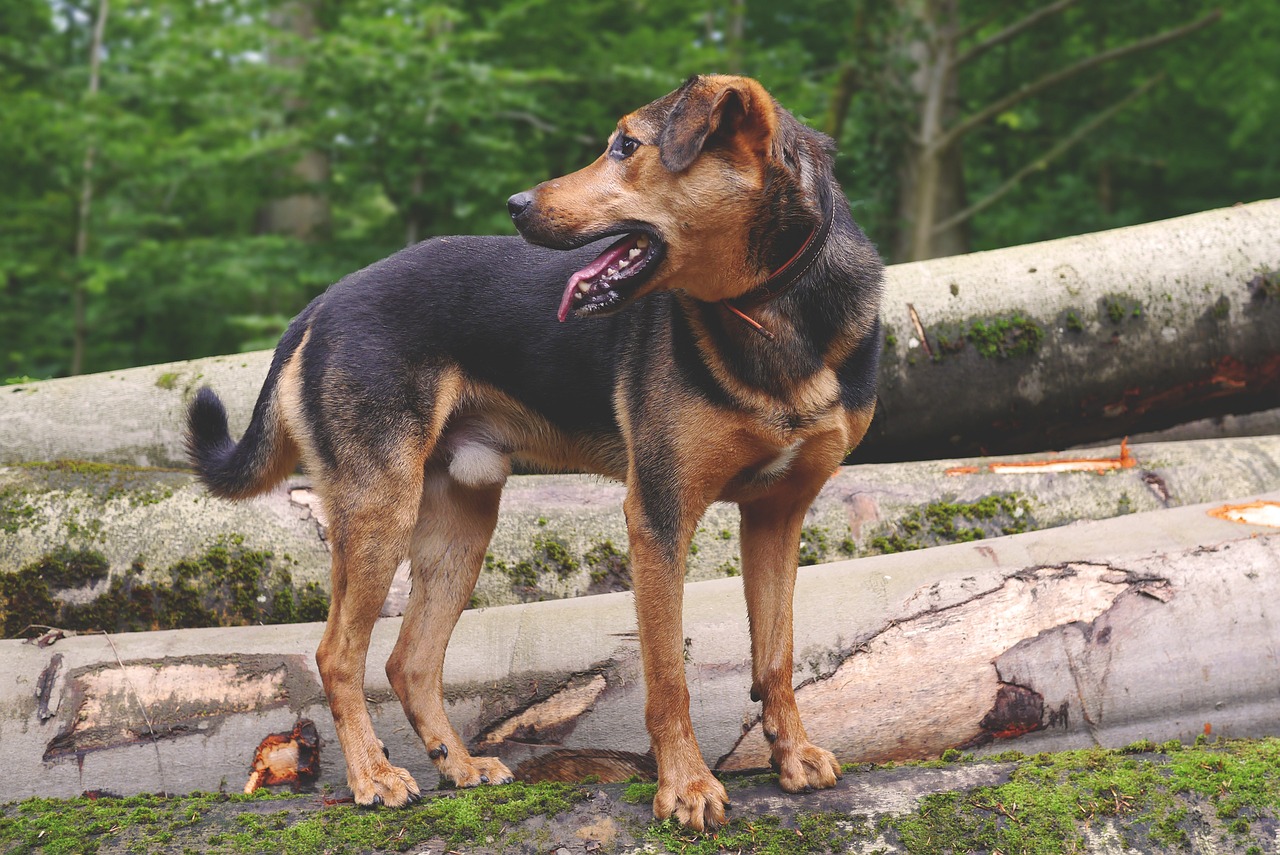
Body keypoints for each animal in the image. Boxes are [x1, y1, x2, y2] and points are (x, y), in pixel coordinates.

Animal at [186, 76, 880, 829]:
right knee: (338, 653)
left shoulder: (778, 516)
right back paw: (375, 776)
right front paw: (687, 788)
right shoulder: (659, 514)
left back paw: (458, 766)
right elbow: (668, 675)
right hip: (381, 509)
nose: (515, 205)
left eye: (626, 146)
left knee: (409, 661)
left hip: (460, 522)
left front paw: (794, 758)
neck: (773, 307)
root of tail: (320, 305)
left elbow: (775, 656)